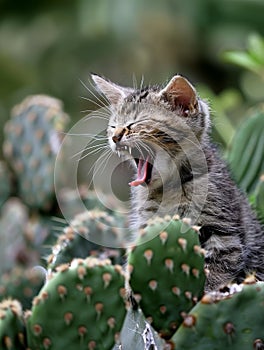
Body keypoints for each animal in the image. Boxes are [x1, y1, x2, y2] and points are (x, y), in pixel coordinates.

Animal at [92, 73, 262, 290]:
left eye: (136, 123)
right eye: (113, 125)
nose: (115, 136)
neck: (171, 187)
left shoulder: (224, 232)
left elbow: (216, 270)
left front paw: (205, 294)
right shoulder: (146, 224)